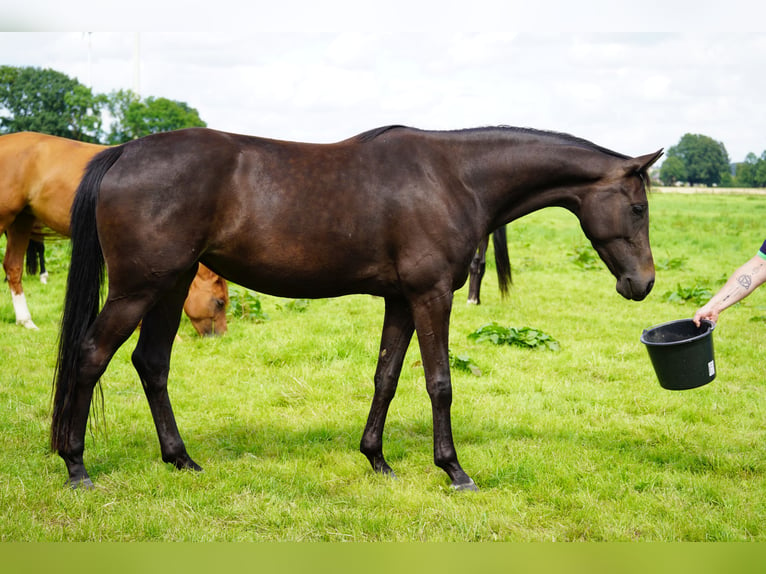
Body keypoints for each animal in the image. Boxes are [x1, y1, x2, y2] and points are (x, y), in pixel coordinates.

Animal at [51, 126, 664, 490]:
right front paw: (453, 469)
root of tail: (124, 152)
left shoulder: (400, 299)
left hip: (173, 285)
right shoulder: (431, 295)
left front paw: (377, 458)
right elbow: (439, 382)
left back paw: (181, 459)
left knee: (151, 363)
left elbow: (386, 376)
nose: (643, 283)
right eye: (637, 208)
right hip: (137, 289)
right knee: (91, 355)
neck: (453, 178)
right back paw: (76, 465)